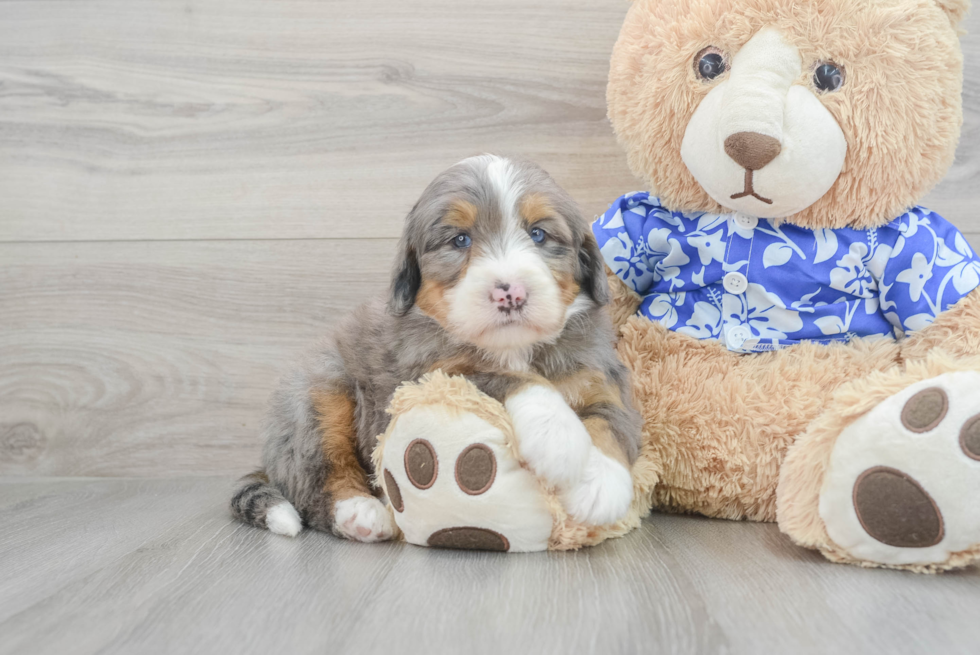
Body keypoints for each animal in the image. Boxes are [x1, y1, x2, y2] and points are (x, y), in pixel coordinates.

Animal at [230, 155, 644, 544]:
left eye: (538, 234)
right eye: (460, 240)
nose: (509, 292)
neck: (514, 347)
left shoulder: (597, 370)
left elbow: (610, 419)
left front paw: (602, 483)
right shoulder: (427, 373)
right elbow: (510, 378)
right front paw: (559, 437)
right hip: (318, 391)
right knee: (318, 474)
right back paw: (361, 512)